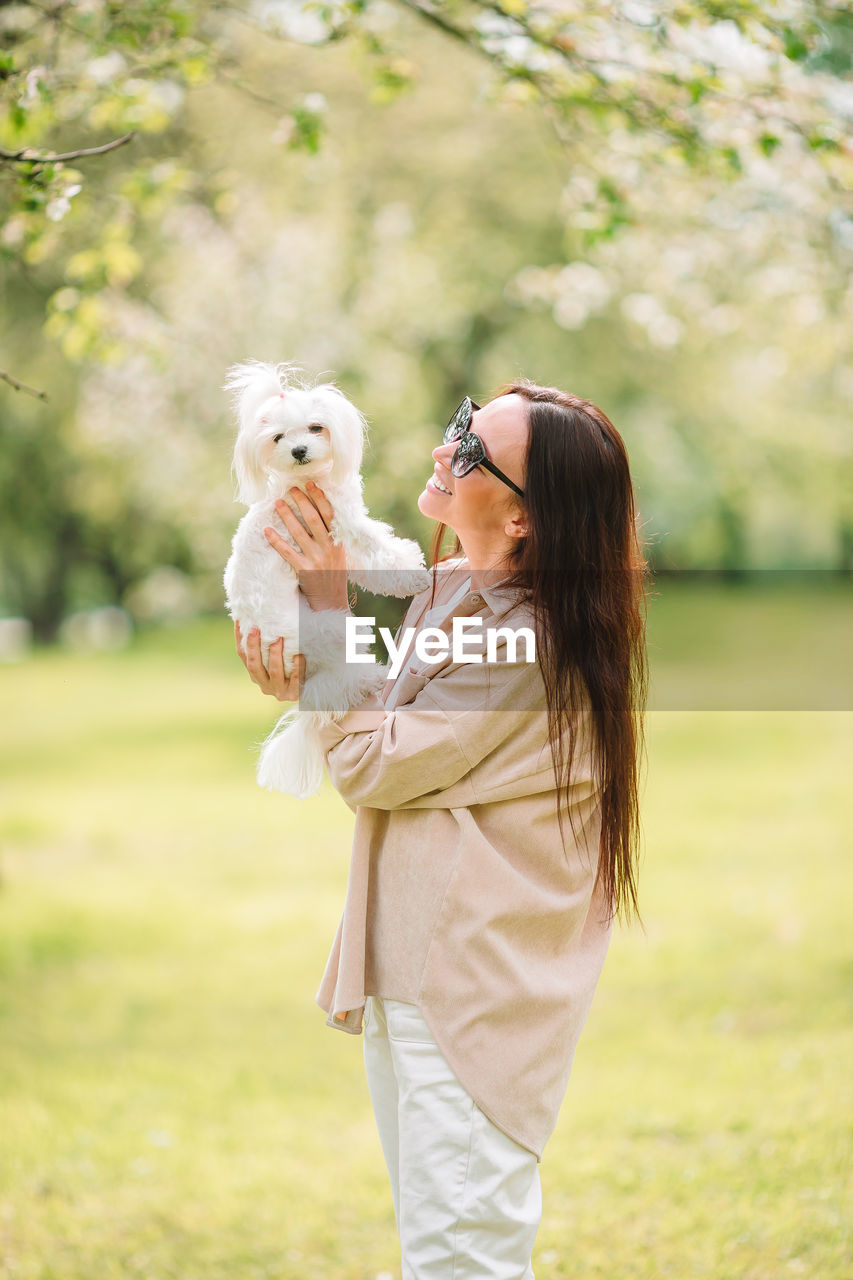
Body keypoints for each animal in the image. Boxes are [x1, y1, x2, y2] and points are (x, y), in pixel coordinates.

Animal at [224, 360, 427, 793]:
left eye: (316, 427)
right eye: (278, 437)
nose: (298, 450)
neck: (306, 484)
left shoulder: (342, 538)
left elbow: (372, 564)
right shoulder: (346, 524)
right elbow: (378, 548)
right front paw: (411, 569)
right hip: (331, 631)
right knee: (343, 678)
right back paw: (373, 677)